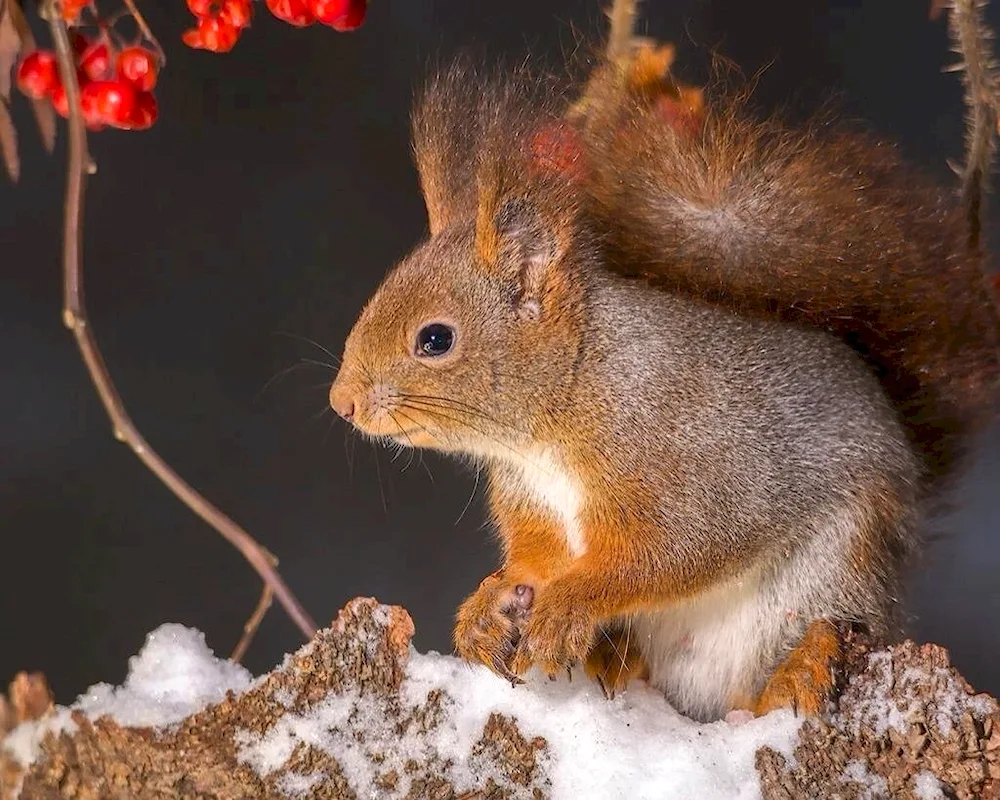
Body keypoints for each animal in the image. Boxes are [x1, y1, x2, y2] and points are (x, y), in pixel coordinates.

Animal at [326, 14, 1000, 724]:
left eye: (435, 339)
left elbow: (671, 551)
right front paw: (492, 603)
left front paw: (570, 604)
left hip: (826, 583)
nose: (342, 401)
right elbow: (538, 558)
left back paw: (793, 675)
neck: (570, 398)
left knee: (783, 665)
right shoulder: (536, 502)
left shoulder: (691, 469)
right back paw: (613, 659)